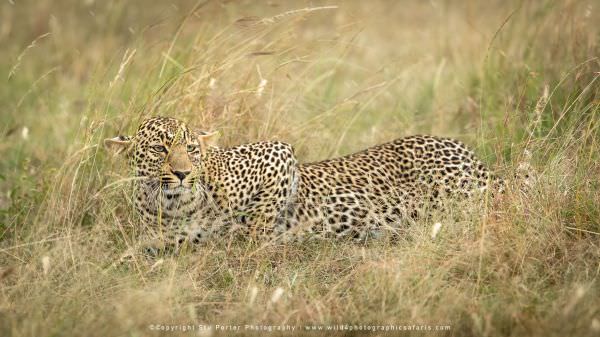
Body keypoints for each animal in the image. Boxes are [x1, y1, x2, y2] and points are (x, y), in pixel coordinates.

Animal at [104, 117, 502, 253]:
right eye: (160, 148)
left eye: (190, 149)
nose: (184, 174)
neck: (169, 205)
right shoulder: (165, 234)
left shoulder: (278, 154)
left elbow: (260, 224)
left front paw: (261, 242)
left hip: (459, 194)